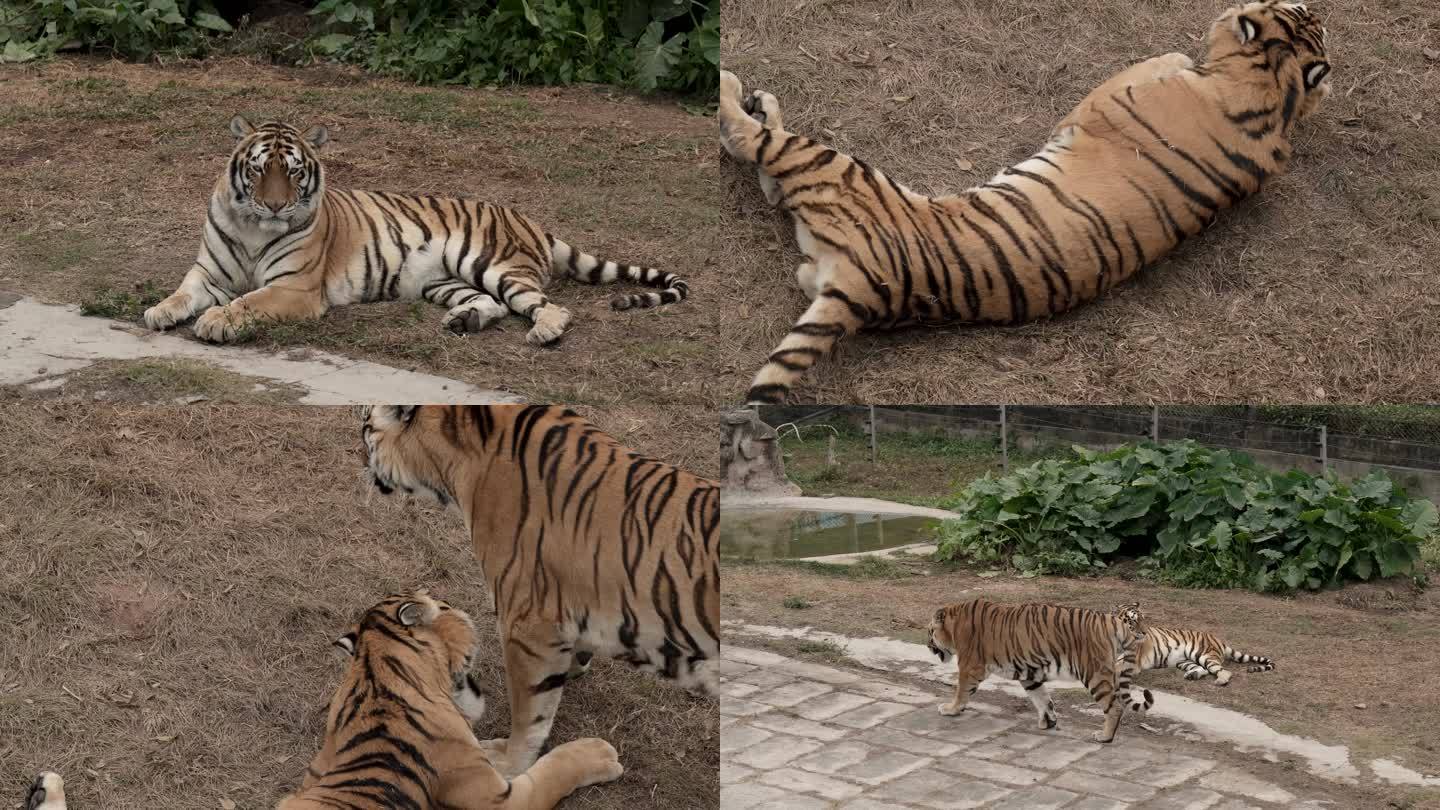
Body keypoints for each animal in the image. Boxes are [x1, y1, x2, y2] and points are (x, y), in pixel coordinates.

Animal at [143, 118, 688, 345]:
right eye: (258, 169)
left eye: (294, 172)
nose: (276, 205)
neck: (255, 227)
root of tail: (531, 220)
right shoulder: (210, 274)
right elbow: (183, 291)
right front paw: (160, 311)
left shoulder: (294, 288)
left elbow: (247, 302)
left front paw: (216, 322)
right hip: (442, 280)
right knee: (490, 303)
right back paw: (464, 322)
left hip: (490, 263)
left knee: (547, 305)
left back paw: (545, 332)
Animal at [277, 585, 622, 807]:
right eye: (444, 605)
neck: (375, 670)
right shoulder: (496, 797)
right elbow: (552, 772)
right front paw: (598, 753)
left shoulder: (313, 771)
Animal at [714, 0, 1330, 400]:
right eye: (1301, 5)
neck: (1276, 95)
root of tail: (863, 288)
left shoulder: (1099, 102)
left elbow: (1163, 59)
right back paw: (757, 97)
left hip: (837, 169)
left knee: (751, 142)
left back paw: (731, 84)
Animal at [927, 596, 1152, 743]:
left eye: (930, 632)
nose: (928, 646)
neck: (954, 622)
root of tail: (1114, 621)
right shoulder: (1029, 672)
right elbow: (1042, 698)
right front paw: (1049, 721)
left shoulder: (969, 666)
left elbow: (961, 691)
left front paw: (951, 709)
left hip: (1094, 674)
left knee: (1114, 707)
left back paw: (1105, 737)